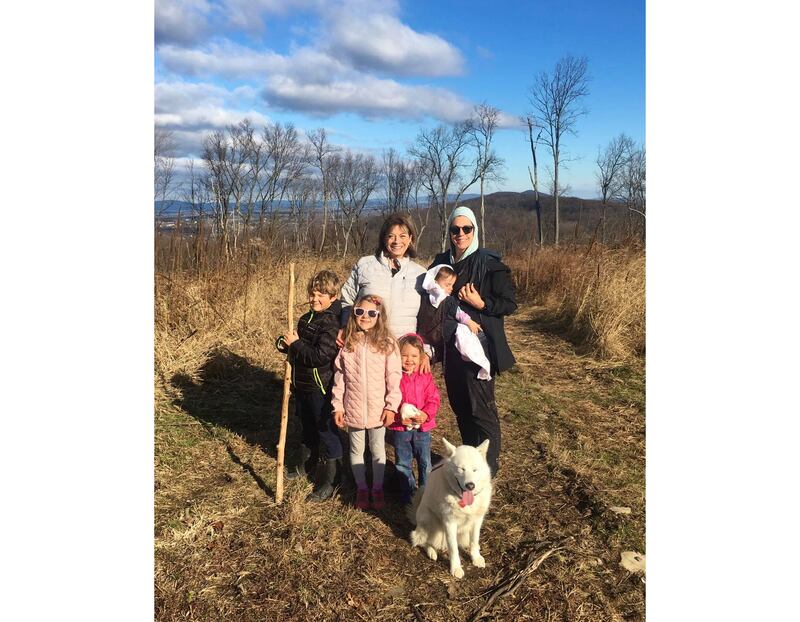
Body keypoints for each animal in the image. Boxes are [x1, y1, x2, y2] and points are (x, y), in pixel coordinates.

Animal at [410, 438, 490, 580]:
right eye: (461, 469)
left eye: (475, 470)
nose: (470, 485)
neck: (461, 499)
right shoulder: (450, 523)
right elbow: (453, 549)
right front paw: (456, 568)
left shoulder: (477, 521)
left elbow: (474, 541)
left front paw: (476, 558)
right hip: (429, 521)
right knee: (421, 540)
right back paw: (432, 552)